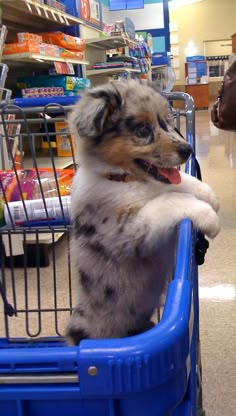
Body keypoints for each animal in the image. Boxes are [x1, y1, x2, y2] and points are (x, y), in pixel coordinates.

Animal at [64, 80, 219, 344]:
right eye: (143, 130)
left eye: (166, 122)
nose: (188, 149)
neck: (127, 180)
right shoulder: (126, 230)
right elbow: (170, 199)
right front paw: (209, 216)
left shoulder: (161, 185)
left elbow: (182, 182)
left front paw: (210, 197)